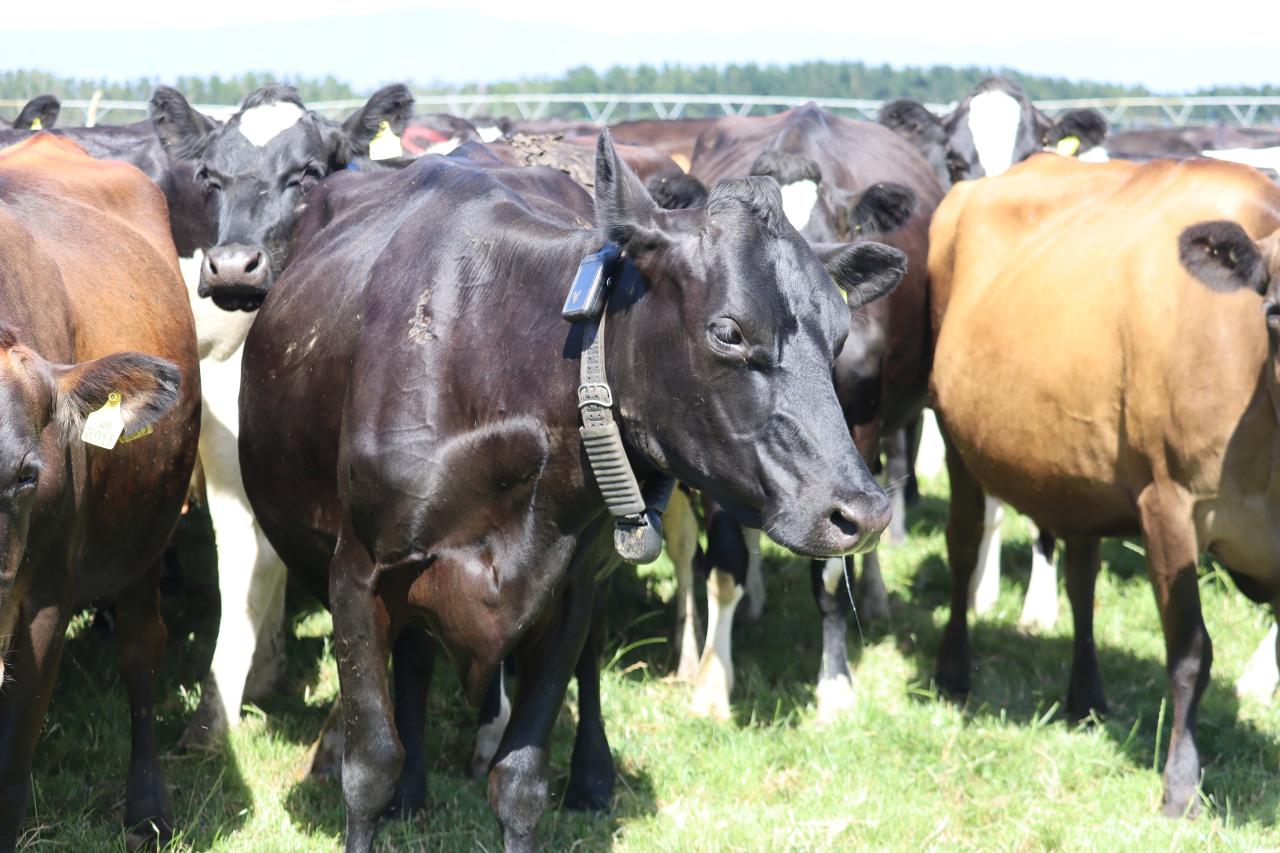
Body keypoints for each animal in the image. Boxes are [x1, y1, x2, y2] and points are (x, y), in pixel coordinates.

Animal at [234, 132, 899, 851]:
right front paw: (387, 785)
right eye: (729, 331)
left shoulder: (569, 589)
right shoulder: (357, 574)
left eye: (838, 334)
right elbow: (370, 767)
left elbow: (522, 781)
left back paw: (592, 776)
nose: (864, 511)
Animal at [657, 103, 940, 720]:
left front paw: (835, 683)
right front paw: (714, 681)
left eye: (834, 239)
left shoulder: (861, 430)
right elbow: (724, 567)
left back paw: (875, 596)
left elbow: (837, 566)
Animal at [928, 151, 1280, 818]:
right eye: (1275, 311)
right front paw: (1180, 788)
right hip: (954, 432)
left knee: (1082, 577)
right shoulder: (1168, 503)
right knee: (961, 545)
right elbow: (1190, 653)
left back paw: (1085, 695)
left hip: (1077, 473)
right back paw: (953, 672)